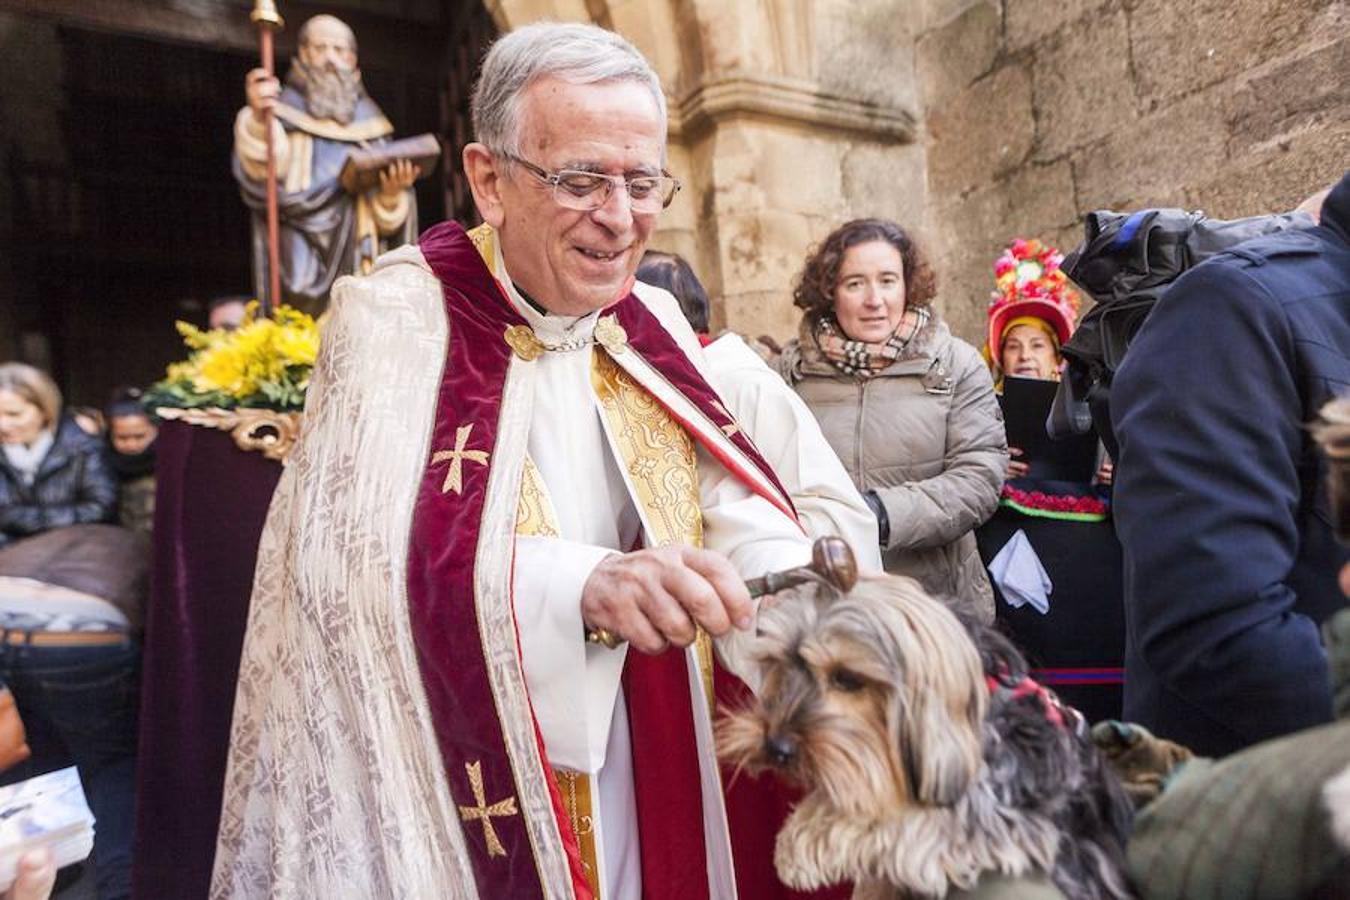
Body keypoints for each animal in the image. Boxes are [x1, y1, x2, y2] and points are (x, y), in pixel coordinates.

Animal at [723, 577, 1134, 900]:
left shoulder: (1007, 812)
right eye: (777, 664)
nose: (777, 748)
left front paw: (801, 841)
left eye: (847, 678)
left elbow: (907, 816)